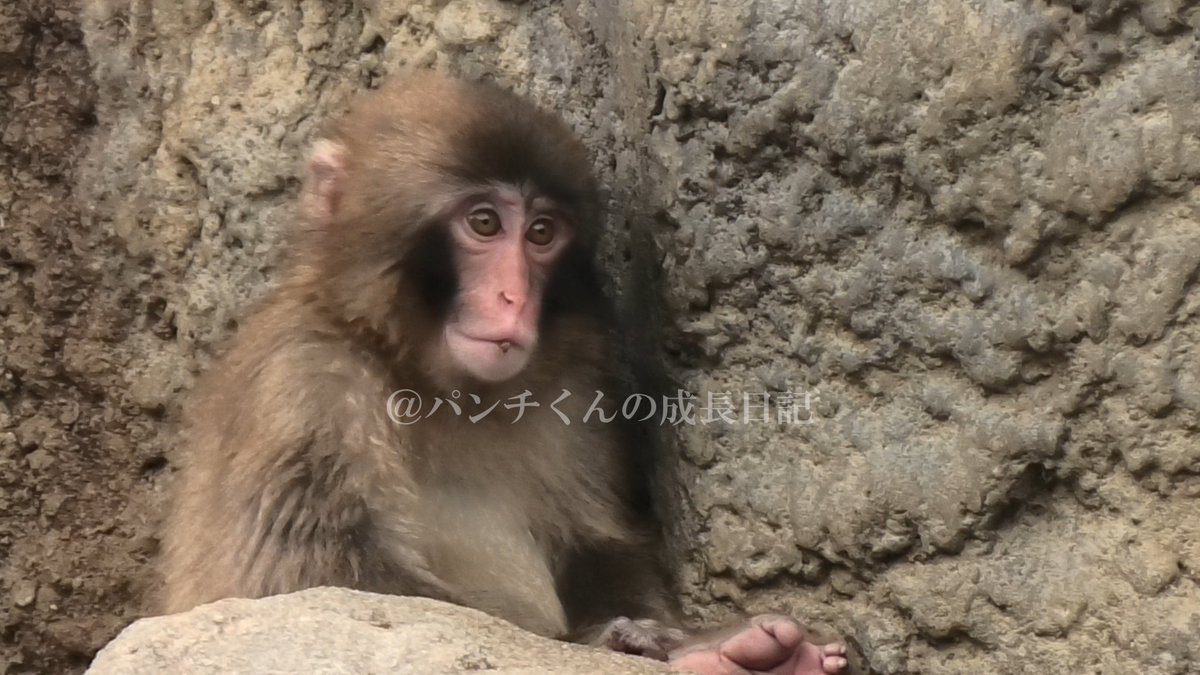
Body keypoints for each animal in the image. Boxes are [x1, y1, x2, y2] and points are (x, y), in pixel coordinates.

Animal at [159, 72, 848, 675]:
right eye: (485, 223)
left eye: (541, 233)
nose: (515, 298)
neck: (435, 385)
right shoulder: (303, 384)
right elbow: (315, 583)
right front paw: (672, 649)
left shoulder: (575, 387)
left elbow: (595, 541)